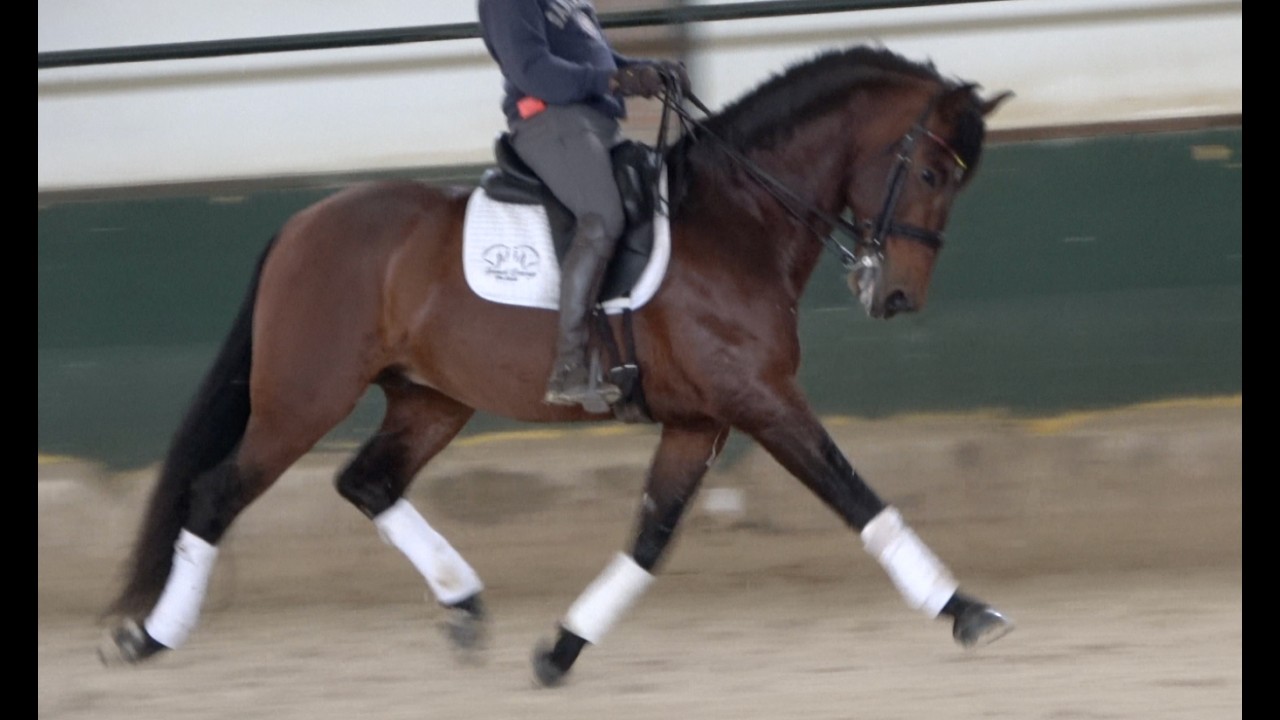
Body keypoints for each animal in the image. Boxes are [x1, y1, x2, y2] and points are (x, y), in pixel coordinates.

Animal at [99, 45, 1014, 686]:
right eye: (929, 171)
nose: (896, 296)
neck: (737, 220)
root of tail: (301, 224)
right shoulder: (762, 399)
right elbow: (859, 498)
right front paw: (967, 611)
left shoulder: (701, 420)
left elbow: (650, 538)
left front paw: (561, 651)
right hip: (304, 398)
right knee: (216, 494)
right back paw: (149, 638)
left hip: (430, 399)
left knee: (367, 482)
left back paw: (465, 606)